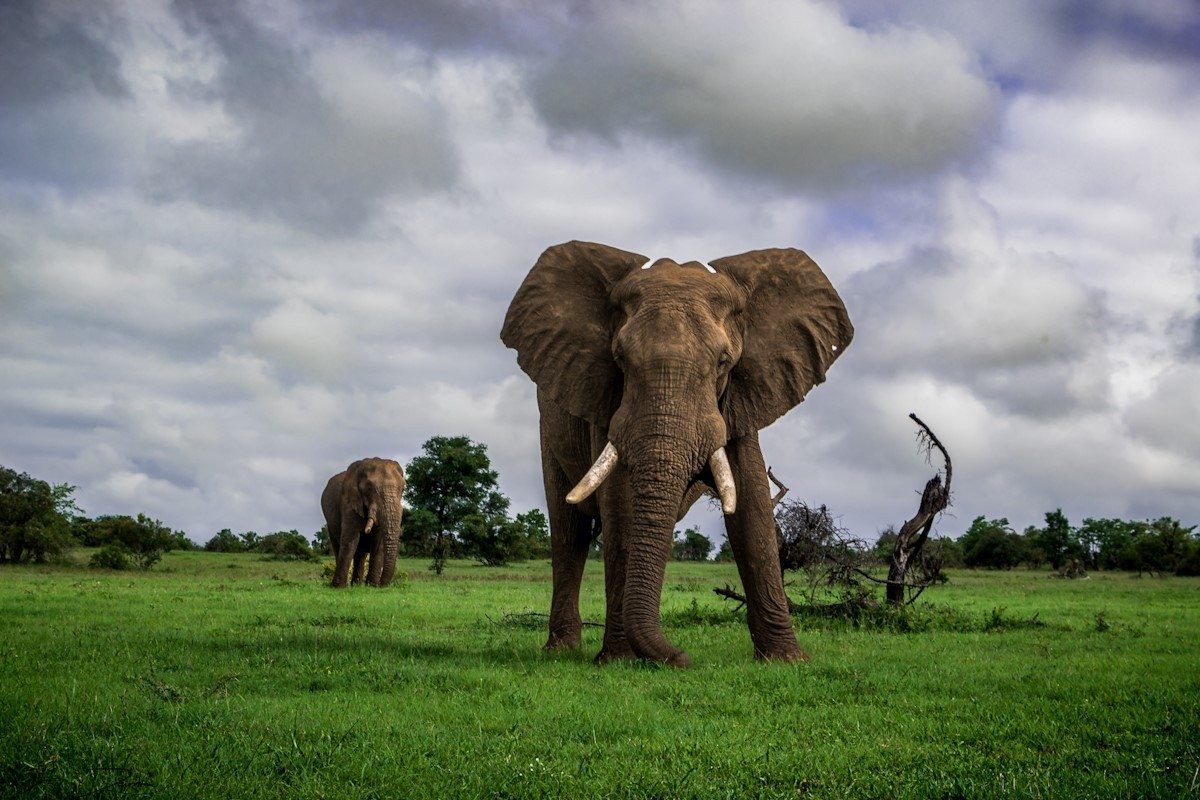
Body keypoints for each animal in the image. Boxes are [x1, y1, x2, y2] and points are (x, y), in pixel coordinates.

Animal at [321, 458, 405, 588]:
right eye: (369, 487)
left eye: (403, 489)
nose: (382, 585)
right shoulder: (349, 502)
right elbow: (350, 540)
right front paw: (338, 587)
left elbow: (378, 543)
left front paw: (372, 586)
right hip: (330, 523)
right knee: (339, 546)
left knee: (360, 553)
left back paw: (357, 585)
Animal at [501, 241, 852, 665]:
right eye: (619, 358)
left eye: (723, 362)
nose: (682, 658)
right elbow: (619, 505)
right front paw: (618, 661)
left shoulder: (743, 393)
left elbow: (752, 504)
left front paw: (786, 660)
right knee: (570, 533)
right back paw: (561, 649)